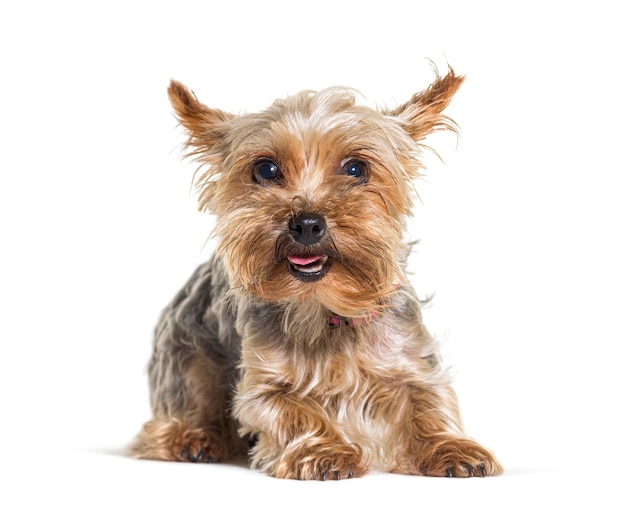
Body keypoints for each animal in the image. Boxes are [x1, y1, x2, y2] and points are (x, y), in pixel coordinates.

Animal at [132, 67, 502, 482]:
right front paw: (324, 452)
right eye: (266, 169)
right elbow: (293, 411)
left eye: (356, 168)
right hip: (186, 359)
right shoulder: (262, 385)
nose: (307, 223)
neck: (323, 305)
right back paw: (192, 438)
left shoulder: (411, 361)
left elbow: (429, 402)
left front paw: (451, 447)